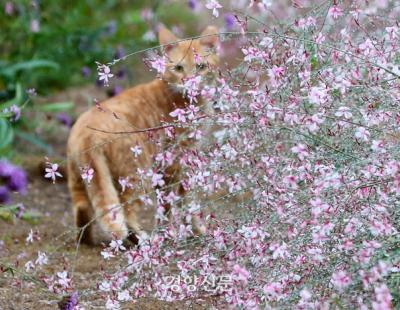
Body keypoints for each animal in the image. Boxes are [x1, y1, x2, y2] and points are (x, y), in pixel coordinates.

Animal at [67, 26, 220, 245]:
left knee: (82, 210)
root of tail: (87, 133)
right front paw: (194, 229)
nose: (189, 82)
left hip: (79, 180)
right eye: (179, 68)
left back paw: (85, 240)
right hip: (137, 175)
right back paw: (140, 238)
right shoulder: (178, 160)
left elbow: (167, 204)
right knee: (126, 210)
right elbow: (185, 201)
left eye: (200, 67)